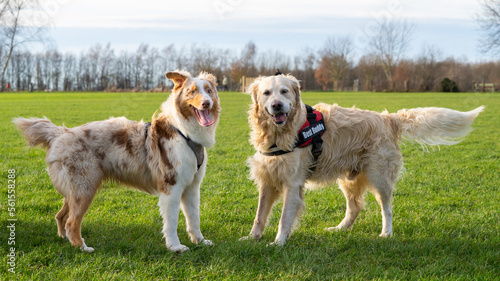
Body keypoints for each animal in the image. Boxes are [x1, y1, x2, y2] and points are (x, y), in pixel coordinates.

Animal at [14, 70, 219, 252]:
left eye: (209, 90)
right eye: (192, 92)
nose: (206, 103)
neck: (184, 132)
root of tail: (61, 132)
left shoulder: (192, 187)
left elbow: (194, 218)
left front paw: (200, 241)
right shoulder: (171, 186)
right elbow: (172, 221)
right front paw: (175, 247)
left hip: (75, 190)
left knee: (61, 216)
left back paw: (66, 240)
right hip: (85, 187)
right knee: (72, 222)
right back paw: (82, 247)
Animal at [242, 74, 484, 245]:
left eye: (284, 92)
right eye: (266, 93)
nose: (277, 105)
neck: (280, 135)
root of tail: (388, 118)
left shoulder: (292, 183)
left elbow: (284, 218)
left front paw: (278, 242)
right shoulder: (268, 180)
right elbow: (259, 215)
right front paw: (252, 237)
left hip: (379, 177)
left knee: (387, 208)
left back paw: (386, 233)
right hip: (349, 179)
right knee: (355, 207)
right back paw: (339, 229)